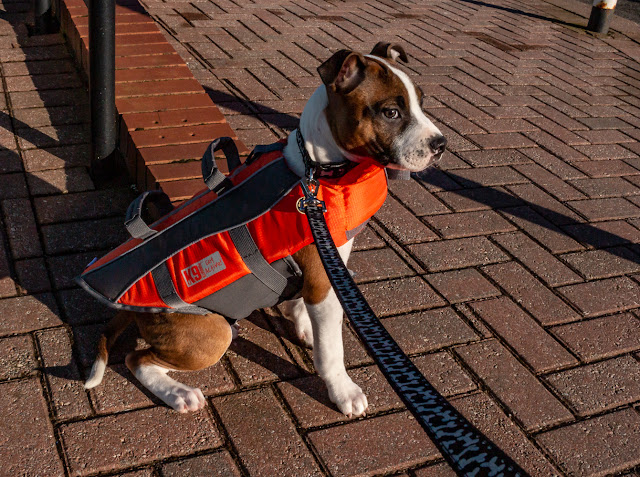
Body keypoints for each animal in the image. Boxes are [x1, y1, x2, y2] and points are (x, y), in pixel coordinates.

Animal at [84, 43, 444, 416]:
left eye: (421, 102)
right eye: (391, 113)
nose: (441, 145)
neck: (319, 170)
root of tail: (128, 310)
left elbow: (303, 308)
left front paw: (302, 323)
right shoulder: (324, 279)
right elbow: (332, 350)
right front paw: (342, 390)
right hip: (213, 334)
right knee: (136, 359)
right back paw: (179, 394)